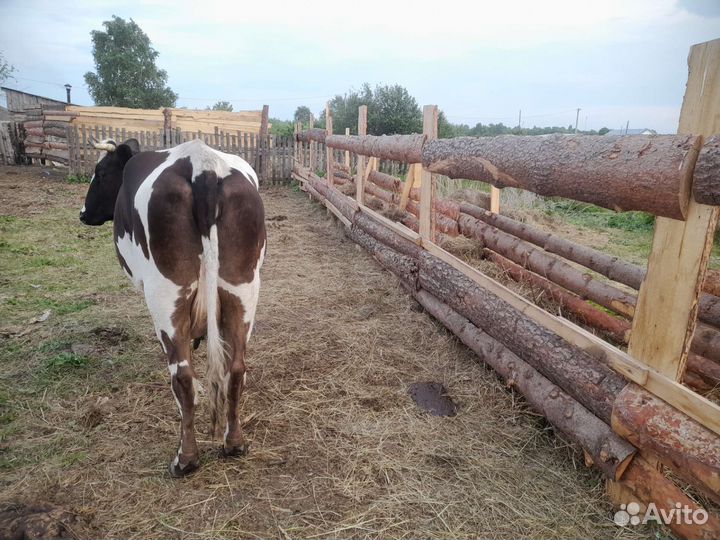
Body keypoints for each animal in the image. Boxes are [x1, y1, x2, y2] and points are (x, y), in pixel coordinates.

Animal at [80, 138, 266, 477]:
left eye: (100, 173)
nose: (83, 214)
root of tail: (203, 166)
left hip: (166, 293)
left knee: (182, 376)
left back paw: (185, 459)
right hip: (243, 288)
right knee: (235, 368)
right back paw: (234, 444)